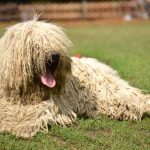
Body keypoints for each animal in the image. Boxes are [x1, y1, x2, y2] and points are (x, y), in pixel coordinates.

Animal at [0, 19, 149, 138]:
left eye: (55, 42)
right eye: (34, 44)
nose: (55, 55)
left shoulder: (54, 103)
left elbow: (37, 111)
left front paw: (21, 126)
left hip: (110, 95)